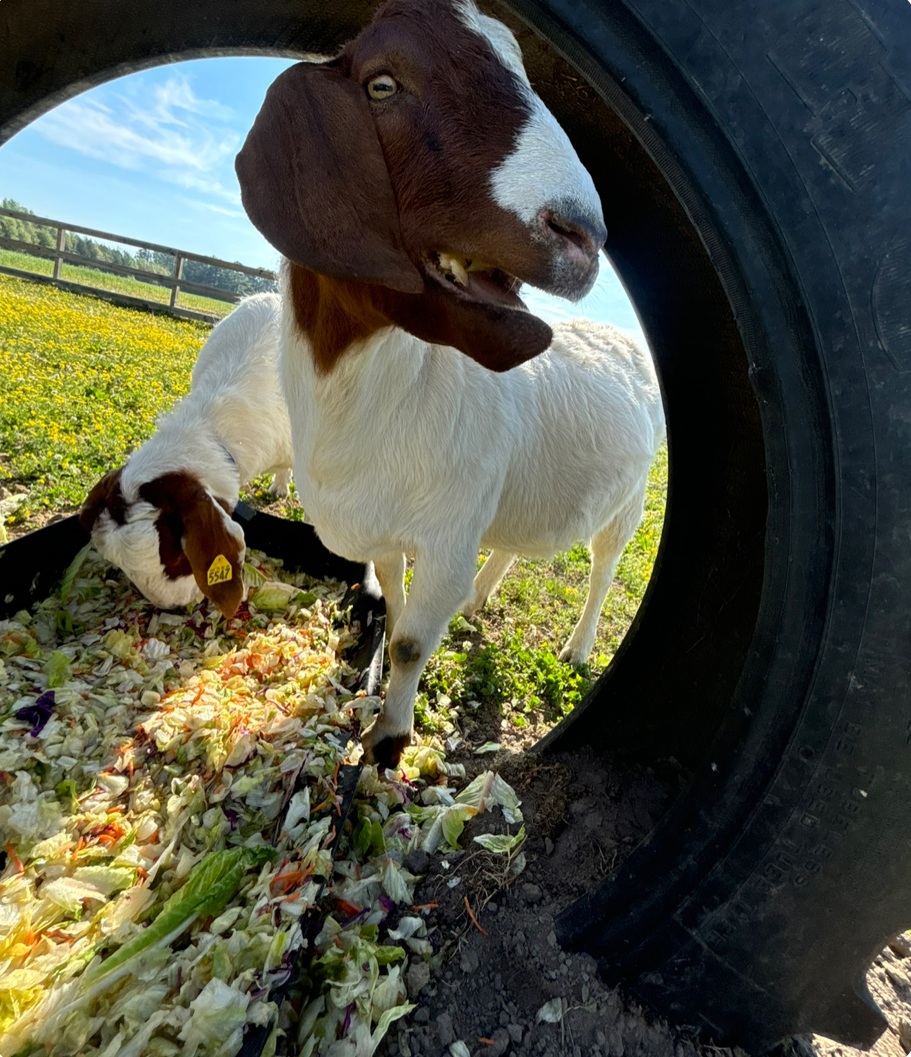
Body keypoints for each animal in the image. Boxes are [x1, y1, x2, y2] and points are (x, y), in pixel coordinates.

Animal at [235, 0, 664, 768]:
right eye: (381, 86)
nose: (582, 235)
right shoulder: (394, 531)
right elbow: (397, 604)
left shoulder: (446, 531)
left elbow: (410, 642)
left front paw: (388, 741)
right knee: (515, 542)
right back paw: (479, 600)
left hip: (633, 496)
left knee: (603, 564)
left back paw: (579, 647)